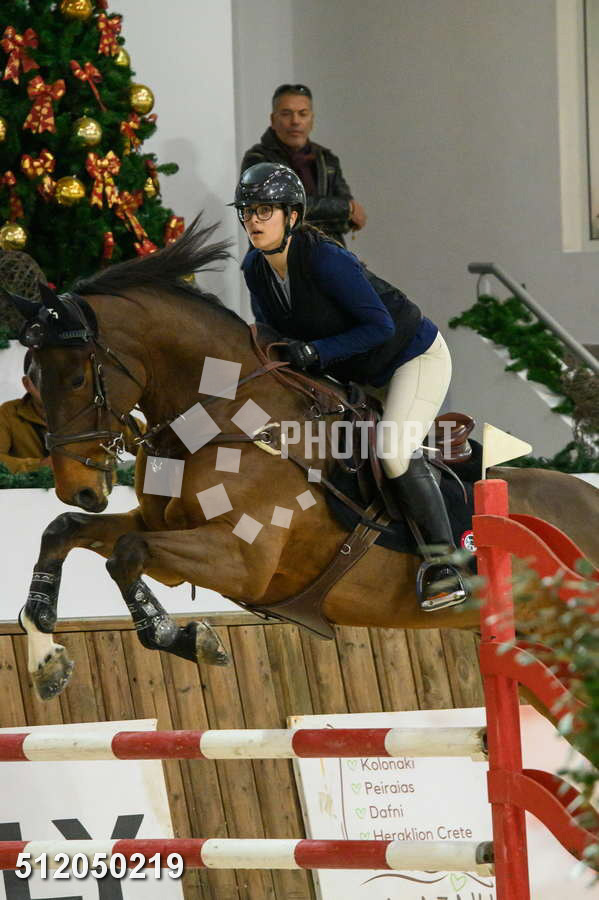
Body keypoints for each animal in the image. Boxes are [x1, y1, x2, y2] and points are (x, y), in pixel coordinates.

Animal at [5, 219, 599, 704]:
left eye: (76, 378)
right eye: (29, 378)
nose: (78, 486)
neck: (224, 417)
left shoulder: (241, 560)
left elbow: (126, 553)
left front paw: (190, 638)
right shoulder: (163, 534)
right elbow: (67, 531)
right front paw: (47, 658)